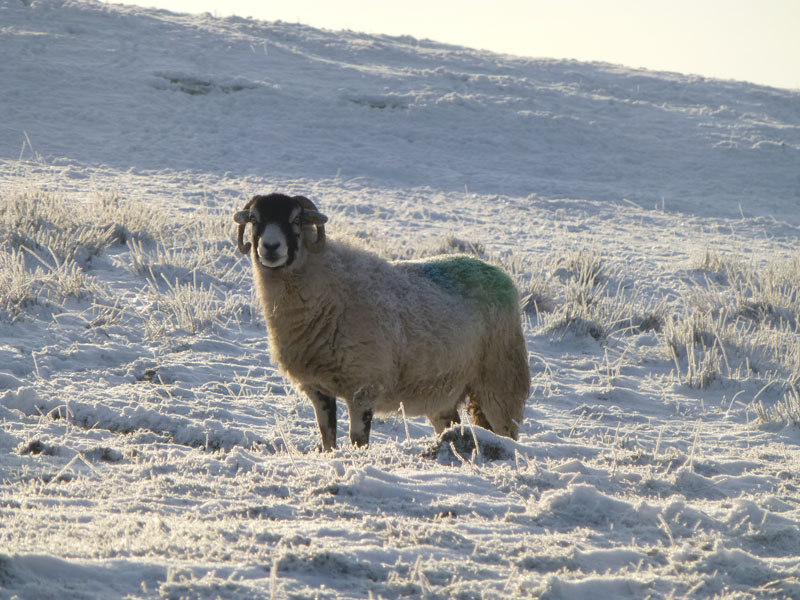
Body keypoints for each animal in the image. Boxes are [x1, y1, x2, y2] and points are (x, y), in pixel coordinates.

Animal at [234, 193, 528, 450]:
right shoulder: (317, 388)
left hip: (500, 379)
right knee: (450, 423)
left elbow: (358, 440)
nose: (270, 247)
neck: (327, 284)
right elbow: (327, 437)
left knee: (506, 431)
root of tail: (496, 271)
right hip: (444, 391)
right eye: (255, 219)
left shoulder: (363, 387)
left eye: (296, 219)